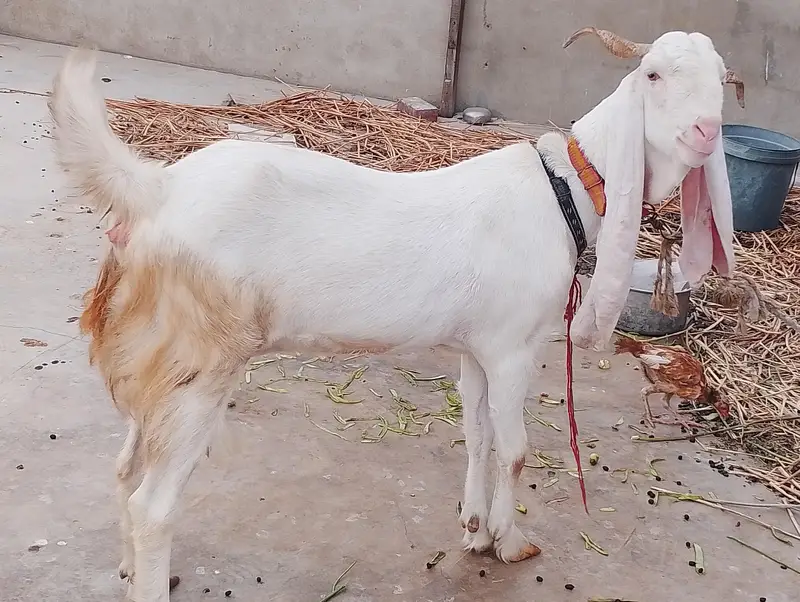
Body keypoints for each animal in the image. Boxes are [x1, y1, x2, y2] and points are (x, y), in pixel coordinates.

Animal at [49, 27, 742, 602]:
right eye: (652, 75)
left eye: (722, 80)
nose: (706, 131)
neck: (563, 188)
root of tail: (156, 189)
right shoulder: (513, 346)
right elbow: (516, 449)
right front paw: (511, 543)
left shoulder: (477, 347)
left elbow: (479, 435)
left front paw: (474, 528)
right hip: (202, 359)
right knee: (154, 505)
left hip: (161, 357)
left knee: (126, 465)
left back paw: (130, 568)